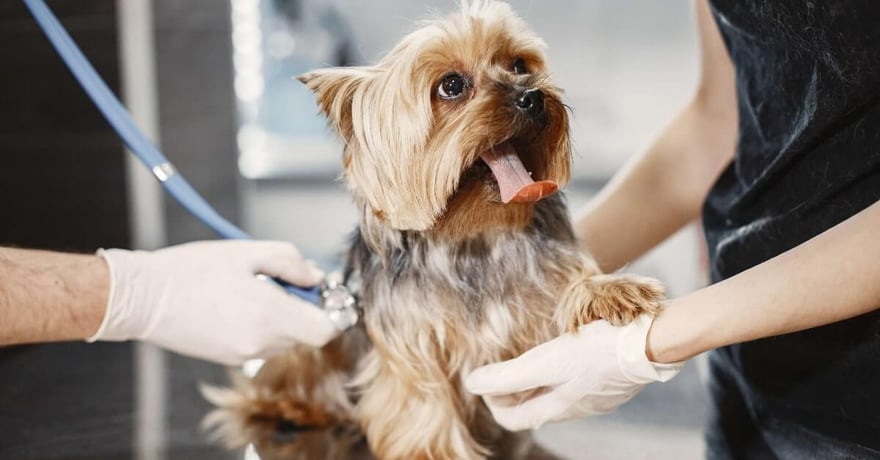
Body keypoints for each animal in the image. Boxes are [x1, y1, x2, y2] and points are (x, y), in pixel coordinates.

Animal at [205, 1, 660, 458]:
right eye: (452, 85)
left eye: (519, 65)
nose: (531, 96)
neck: (473, 238)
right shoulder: (411, 345)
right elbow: (421, 404)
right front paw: (433, 450)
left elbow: (566, 288)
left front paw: (607, 291)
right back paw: (290, 408)